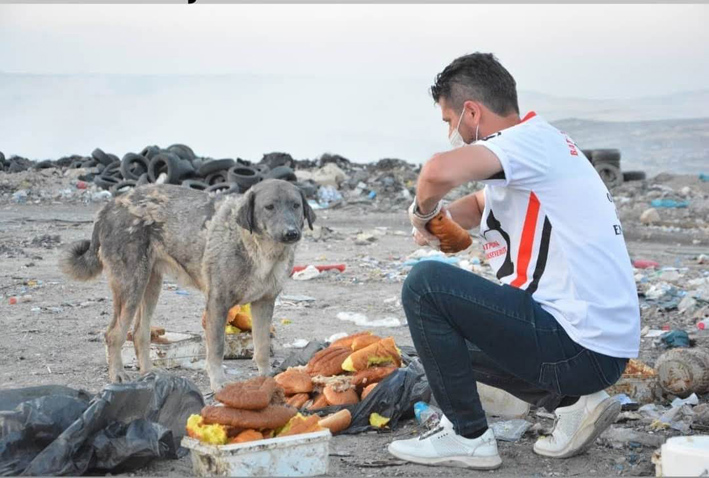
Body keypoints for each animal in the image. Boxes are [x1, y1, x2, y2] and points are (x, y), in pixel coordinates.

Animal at [60, 179, 316, 392]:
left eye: (296, 205)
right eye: (269, 207)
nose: (291, 233)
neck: (259, 250)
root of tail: (109, 205)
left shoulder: (264, 303)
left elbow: (261, 348)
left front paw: (267, 379)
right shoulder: (217, 304)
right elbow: (216, 350)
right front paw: (219, 384)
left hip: (151, 286)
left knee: (140, 332)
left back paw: (149, 373)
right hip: (131, 287)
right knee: (114, 334)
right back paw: (118, 375)